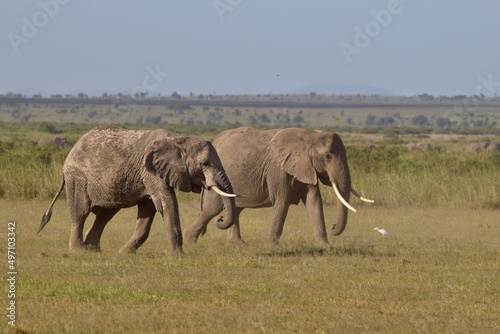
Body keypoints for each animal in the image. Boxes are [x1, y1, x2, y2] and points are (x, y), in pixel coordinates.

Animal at [38, 125, 237, 253]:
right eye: (205, 164)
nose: (220, 219)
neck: (178, 139)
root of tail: (72, 150)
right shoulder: (150, 171)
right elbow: (167, 202)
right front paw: (179, 255)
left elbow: (148, 210)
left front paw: (124, 253)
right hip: (77, 177)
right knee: (80, 212)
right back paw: (79, 251)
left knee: (105, 215)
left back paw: (93, 249)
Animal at [186, 126, 374, 244]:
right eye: (327, 156)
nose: (334, 226)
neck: (309, 136)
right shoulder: (278, 170)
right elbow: (282, 202)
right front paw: (272, 245)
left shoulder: (306, 167)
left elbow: (314, 201)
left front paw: (325, 245)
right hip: (215, 176)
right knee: (212, 209)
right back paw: (190, 240)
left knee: (235, 210)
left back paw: (238, 244)